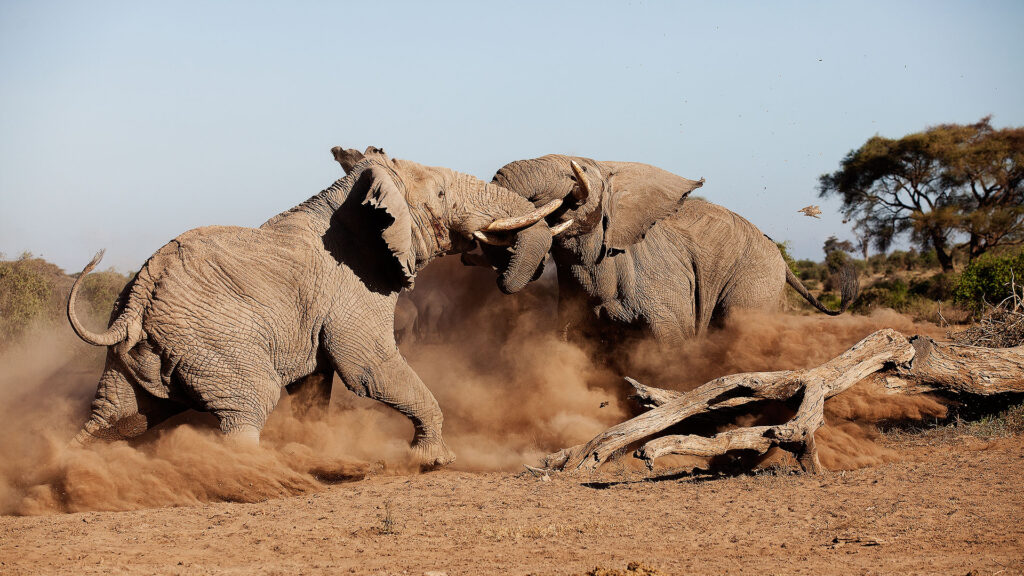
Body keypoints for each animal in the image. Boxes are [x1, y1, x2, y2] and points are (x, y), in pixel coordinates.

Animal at [66, 146, 566, 468]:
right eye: (442, 195)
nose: (498, 274)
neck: (353, 200)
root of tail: (139, 296)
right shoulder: (353, 289)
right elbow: (369, 369)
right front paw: (433, 460)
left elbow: (314, 384)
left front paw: (314, 444)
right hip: (214, 341)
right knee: (251, 402)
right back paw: (254, 475)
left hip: (137, 354)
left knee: (120, 418)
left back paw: (68, 471)